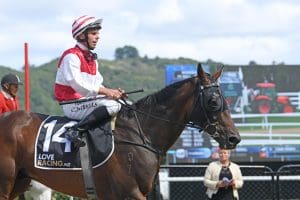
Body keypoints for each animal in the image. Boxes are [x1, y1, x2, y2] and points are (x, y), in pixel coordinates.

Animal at [0, 63, 240, 199]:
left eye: (225, 99)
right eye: (213, 101)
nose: (234, 138)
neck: (141, 133)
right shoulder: (128, 192)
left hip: (20, 181)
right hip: (7, 182)